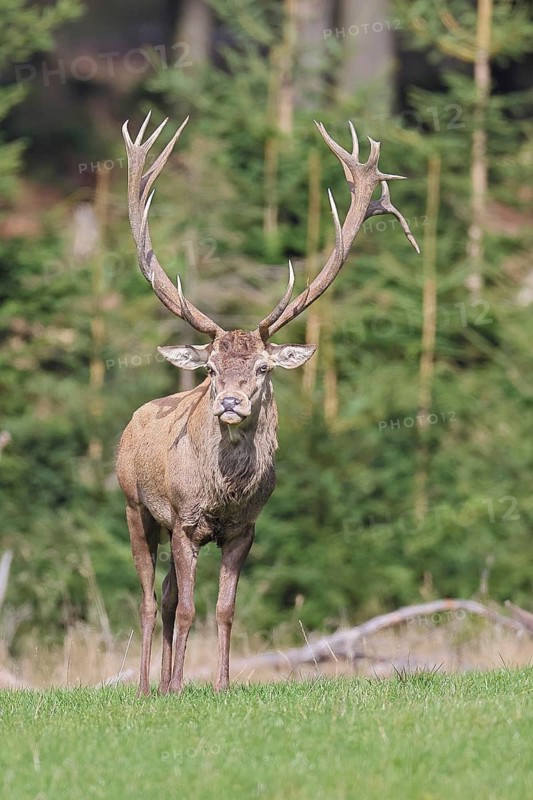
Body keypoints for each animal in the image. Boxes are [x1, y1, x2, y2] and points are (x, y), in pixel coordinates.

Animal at [116, 111, 420, 695]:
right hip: (134, 506)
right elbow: (188, 609)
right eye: (211, 369)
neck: (224, 493)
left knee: (163, 595)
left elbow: (223, 609)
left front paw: (219, 685)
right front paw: (182, 687)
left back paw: (162, 682)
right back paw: (146, 687)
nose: (230, 403)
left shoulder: (245, 528)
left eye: (262, 367)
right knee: (146, 599)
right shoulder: (185, 519)